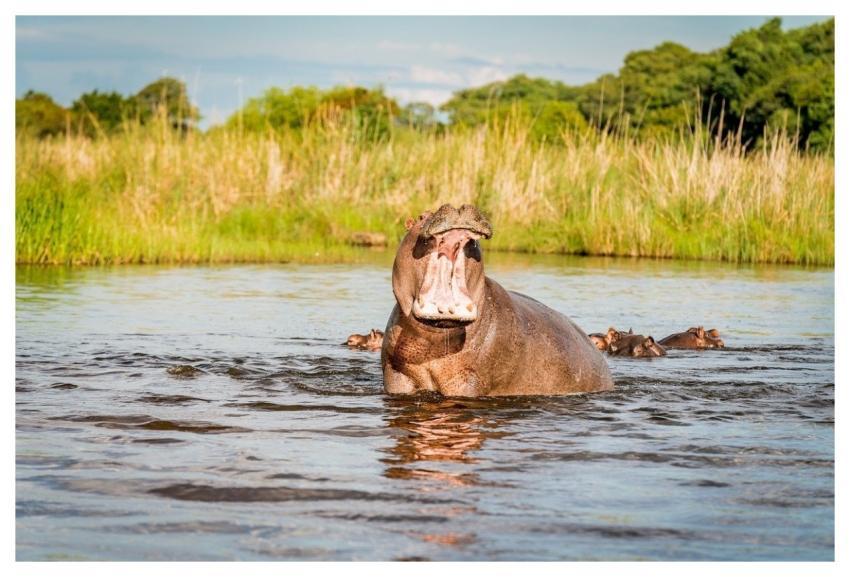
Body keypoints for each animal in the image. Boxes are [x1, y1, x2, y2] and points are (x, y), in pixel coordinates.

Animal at [381, 204, 614, 397]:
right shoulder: (396, 373)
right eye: (421, 216)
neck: (432, 343)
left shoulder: (469, 379)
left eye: (474, 243)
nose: (457, 207)